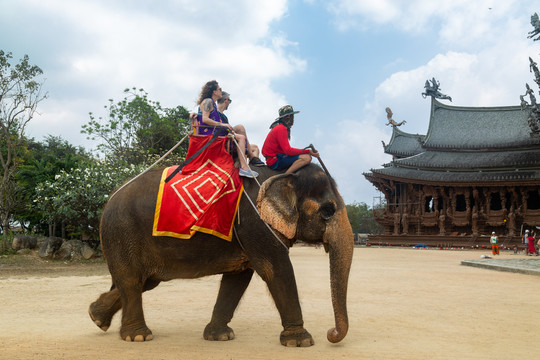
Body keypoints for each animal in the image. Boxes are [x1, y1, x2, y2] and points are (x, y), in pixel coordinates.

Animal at [88, 162, 354, 346]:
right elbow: (276, 269)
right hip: (122, 231)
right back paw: (138, 337)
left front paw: (219, 337)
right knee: (131, 280)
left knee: (144, 281)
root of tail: (110, 198)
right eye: (328, 210)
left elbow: (238, 278)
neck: (283, 173)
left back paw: (96, 316)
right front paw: (301, 341)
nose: (331, 333)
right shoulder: (255, 223)